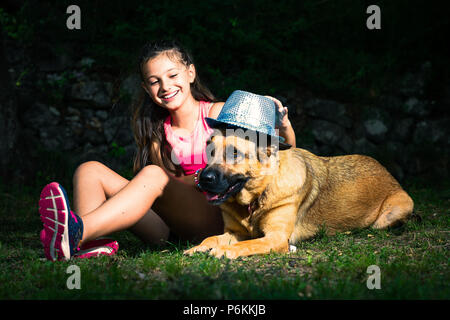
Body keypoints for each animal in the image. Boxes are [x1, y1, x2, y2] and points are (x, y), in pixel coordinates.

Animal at [184, 131, 414, 258]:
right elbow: (212, 238)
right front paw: (197, 248)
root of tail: (386, 170)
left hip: (390, 215)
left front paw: (224, 251)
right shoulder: (235, 232)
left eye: (234, 153)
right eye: (210, 152)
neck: (256, 198)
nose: (203, 178)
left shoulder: (275, 238)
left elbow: (248, 243)